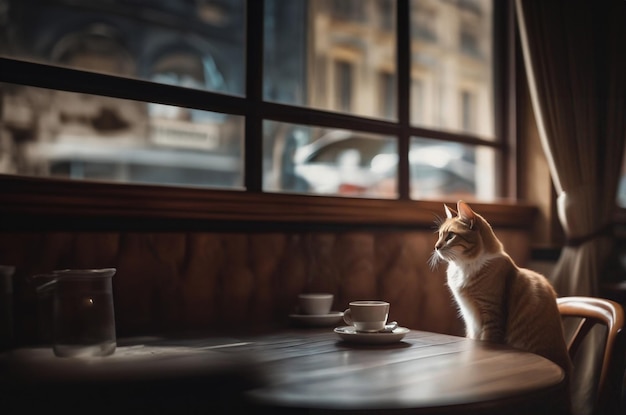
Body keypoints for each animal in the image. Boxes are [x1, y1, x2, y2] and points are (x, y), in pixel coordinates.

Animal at [428, 202, 572, 380]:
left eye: (450, 236)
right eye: (440, 235)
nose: (436, 247)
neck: (464, 267)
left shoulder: (492, 315)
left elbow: (487, 340)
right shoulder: (470, 321)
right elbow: (472, 336)